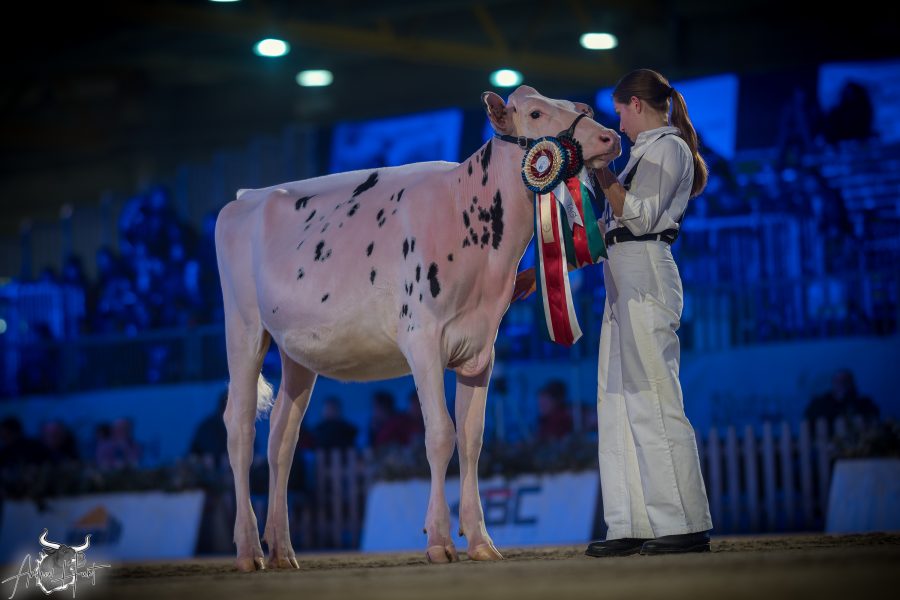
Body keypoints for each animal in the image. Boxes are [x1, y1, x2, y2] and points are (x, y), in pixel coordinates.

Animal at [215, 85, 621, 571]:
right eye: (538, 113)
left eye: (582, 108)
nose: (610, 138)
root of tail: (245, 196)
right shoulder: (422, 340)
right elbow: (440, 434)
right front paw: (439, 539)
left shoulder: (482, 348)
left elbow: (472, 439)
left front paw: (480, 540)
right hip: (243, 328)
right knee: (240, 429)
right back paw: (248, 550)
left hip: (297, 352)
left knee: (282, 439)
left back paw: (282, 549)